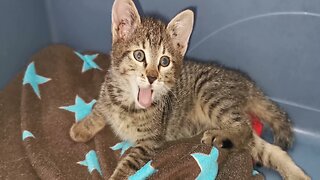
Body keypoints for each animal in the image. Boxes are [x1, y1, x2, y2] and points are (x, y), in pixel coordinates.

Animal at [69, 0, 310, 179]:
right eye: (139, 55)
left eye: (164, 61)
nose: (152, 77)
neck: (128, 103)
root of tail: (244, 80)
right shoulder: (106, 95)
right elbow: (99, 110)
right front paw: (82, 128)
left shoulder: (150, 141)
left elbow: (129, 161)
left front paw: (116, 175)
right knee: (269, 148)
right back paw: (298, 175)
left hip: (212, 94)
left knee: (244, 129)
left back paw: (220, 137)